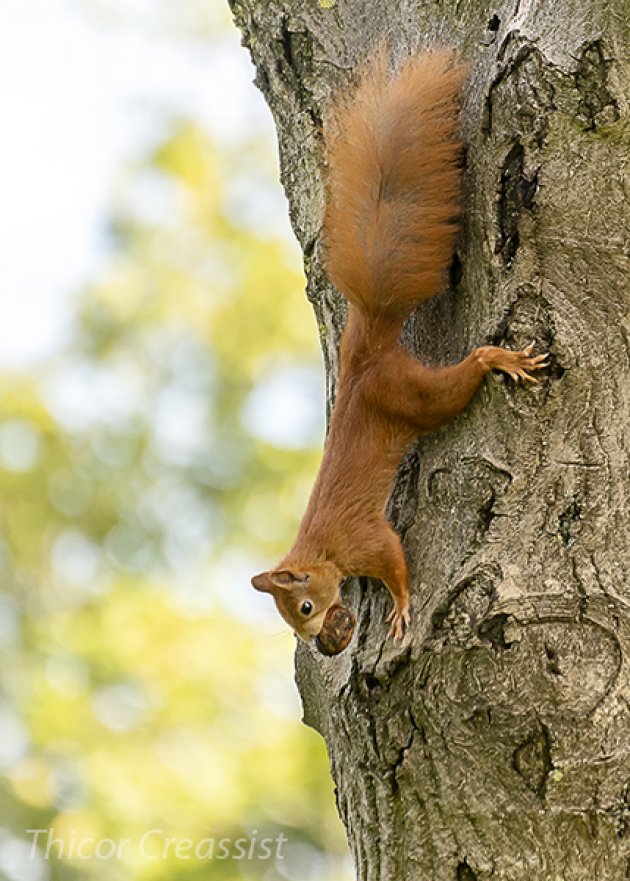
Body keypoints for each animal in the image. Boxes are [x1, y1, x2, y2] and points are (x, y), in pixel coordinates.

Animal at [252, 51, 548, 648]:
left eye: (303, 607)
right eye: (293, 620)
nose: (316, 643)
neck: (320, 549)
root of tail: (363, 360)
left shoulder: (363, 538)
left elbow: (393, 559)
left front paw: (402, 606)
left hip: (410, 395)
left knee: (463, 375)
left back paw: (499, 358)